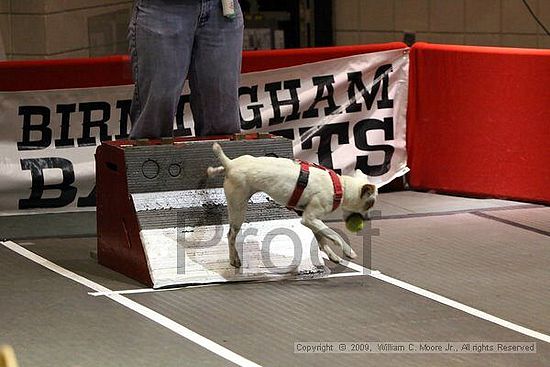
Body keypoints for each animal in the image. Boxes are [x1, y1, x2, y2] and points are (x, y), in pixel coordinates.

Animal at [207, 143, 380, 268]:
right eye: (370, 204)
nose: (368, 218)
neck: (340, 187)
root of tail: (230, 164)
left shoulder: (311, 220)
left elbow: (322, 238)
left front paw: (332, 255)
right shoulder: (310, 218)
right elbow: (333, 234)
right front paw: (347, 250)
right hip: (238, 209)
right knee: (231, 235)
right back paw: (234, 259)